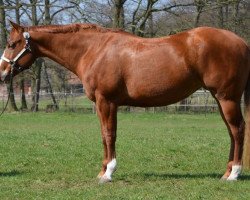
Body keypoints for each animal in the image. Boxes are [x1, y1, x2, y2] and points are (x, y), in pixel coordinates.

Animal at [1, 21, 250, 183]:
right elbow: (104, 136)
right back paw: (226, 172)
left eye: (12, 44)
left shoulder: (107, 101)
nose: (2, 73)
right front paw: (102, 171)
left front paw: (108, 173)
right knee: (231, 132)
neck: (94, 50)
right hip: (221, 99)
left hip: (227, 98)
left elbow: (109, 134)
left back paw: (234, 174)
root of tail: (241, 42)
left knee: (238, 130)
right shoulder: (102, 104)